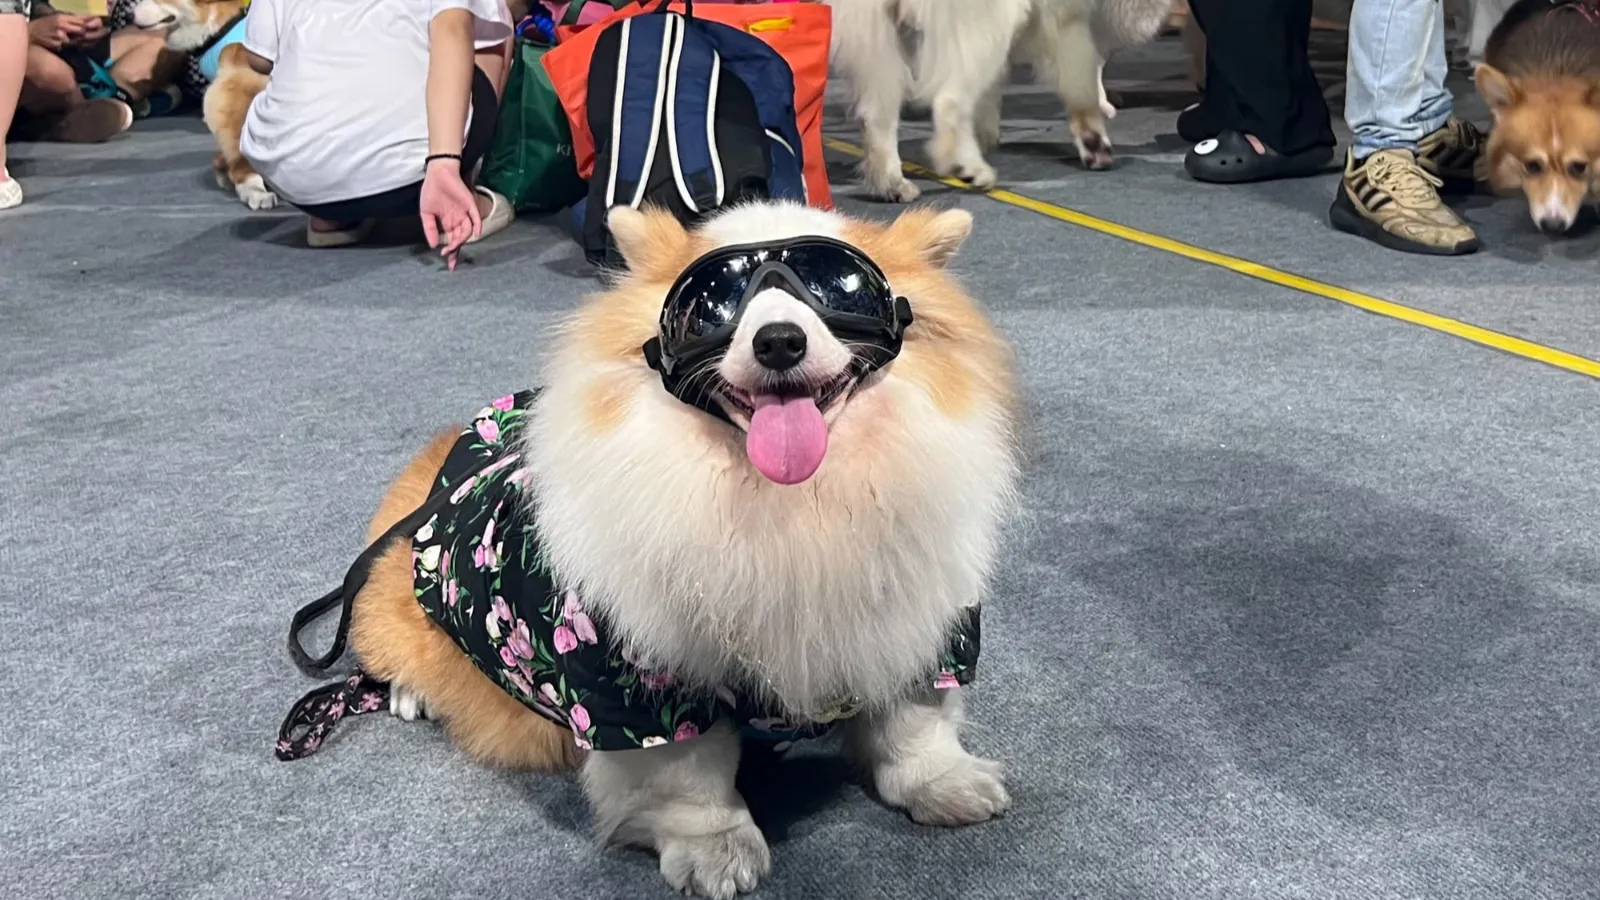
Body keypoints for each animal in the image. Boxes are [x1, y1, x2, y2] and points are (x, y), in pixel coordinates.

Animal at [279, 202, 1022, 898]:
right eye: (712, 306)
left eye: (840, 289)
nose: (779, 341)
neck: (795, 508)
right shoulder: (639, 688)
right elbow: (690, 782)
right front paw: (717, 853)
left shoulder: (921, 623)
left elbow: (913, 727)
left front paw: (946, 785)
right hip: (396, 599)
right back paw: (414, 693)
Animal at [826, 0, 1173, 202]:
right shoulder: (1065, 21)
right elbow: (1081, 81)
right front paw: (1094, 141)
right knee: (949, 101)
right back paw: (968, 166)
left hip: (882, 37)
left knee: (877, 115)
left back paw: (893, 183)